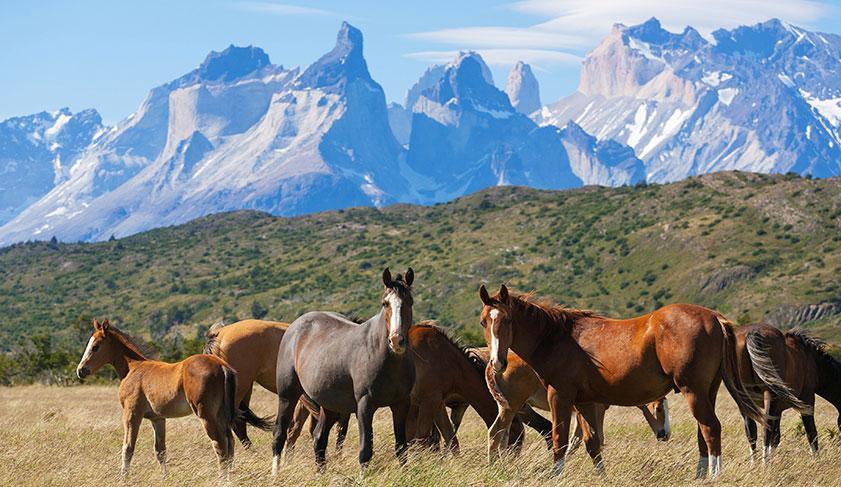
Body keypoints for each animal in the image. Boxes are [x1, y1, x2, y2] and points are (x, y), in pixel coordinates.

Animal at [75, 319, 239, 478]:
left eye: (95, 347)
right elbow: (160, 451)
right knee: (230, 444)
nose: (81, 370)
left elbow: (128, 448)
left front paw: (123, 479)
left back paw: (221, 480)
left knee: (220, 446)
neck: (132, 368)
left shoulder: (132, 413)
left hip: (205, 414)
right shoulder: (158, 419)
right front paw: (164, 478)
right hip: (220, 414)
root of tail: (221, 365)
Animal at [271, 268, 416, 473]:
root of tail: (294, 327)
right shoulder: (365, 405)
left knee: (319, 439)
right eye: (385, 303)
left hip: (330, 405)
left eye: (409, 302)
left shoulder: (401, 404)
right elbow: (365, 450)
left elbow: (401, 448)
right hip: (287, 396)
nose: (396, 341)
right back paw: (276, 474)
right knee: (280, 435)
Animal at [466, 347, 670, 459]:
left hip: (508, 408)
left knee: (504, 435)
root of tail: (492, 365)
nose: (665, 435)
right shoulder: (594, 409)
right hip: (512, 408)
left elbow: (577, 440)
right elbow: (594, 439)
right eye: (659, 408)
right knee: (496, 432)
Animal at [735, 323, 841, 462]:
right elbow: (811, 432)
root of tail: (752, 333)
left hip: (745, 399)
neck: (810, 359)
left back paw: (754, 464)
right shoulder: (808, 398)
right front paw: (816, 460)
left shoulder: (778, 411)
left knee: (751, 431)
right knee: (765, 429)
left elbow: (776, 438)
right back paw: (765, 464)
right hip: (770, 395)